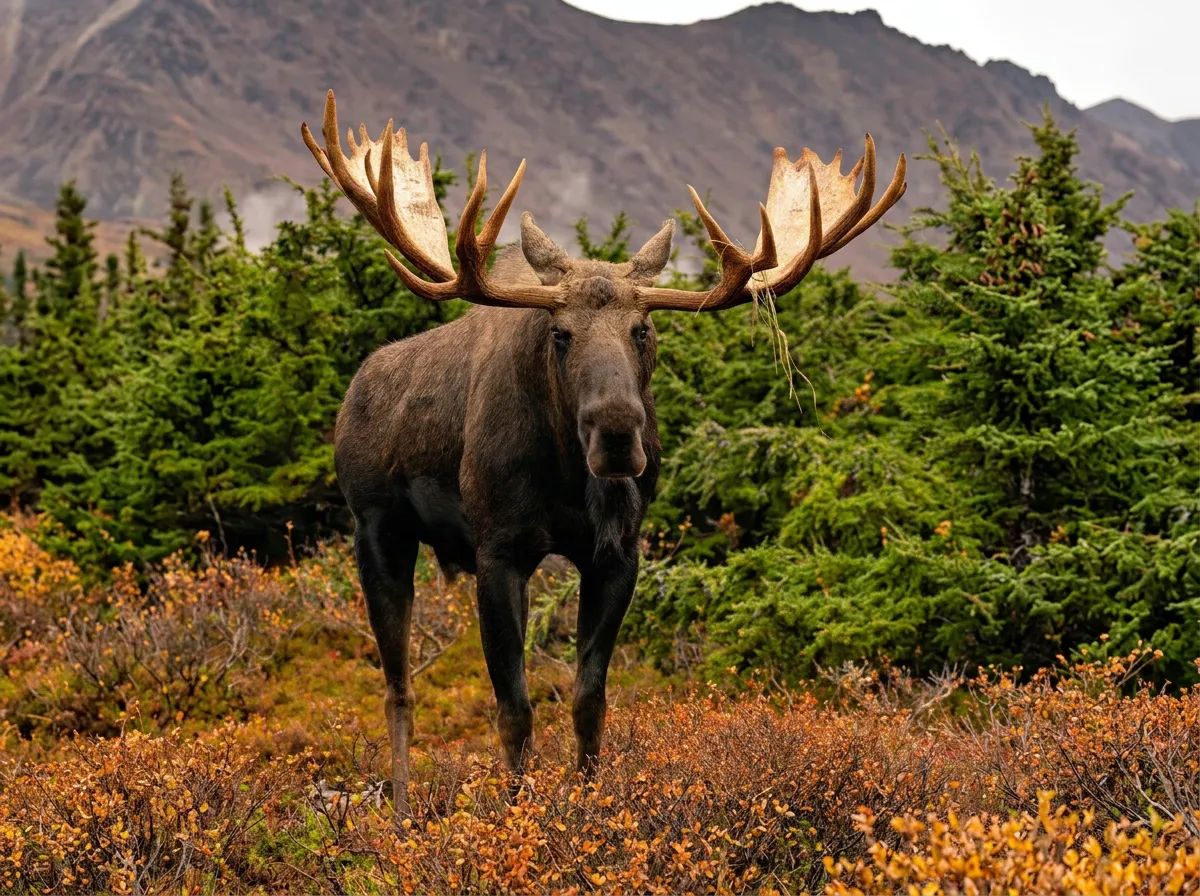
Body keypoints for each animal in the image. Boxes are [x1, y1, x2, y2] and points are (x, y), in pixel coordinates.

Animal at [301, 90, 906, 816]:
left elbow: (589, 700)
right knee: (398, 687)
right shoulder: (497, 549)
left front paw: (589, 806)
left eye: (643, 329)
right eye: (559, 333)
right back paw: (399, 812)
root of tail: (352, 394)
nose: (618, 432)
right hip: (376, 530)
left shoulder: (617, 554)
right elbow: (514, 709)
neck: (567, 479)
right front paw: (518, 816)